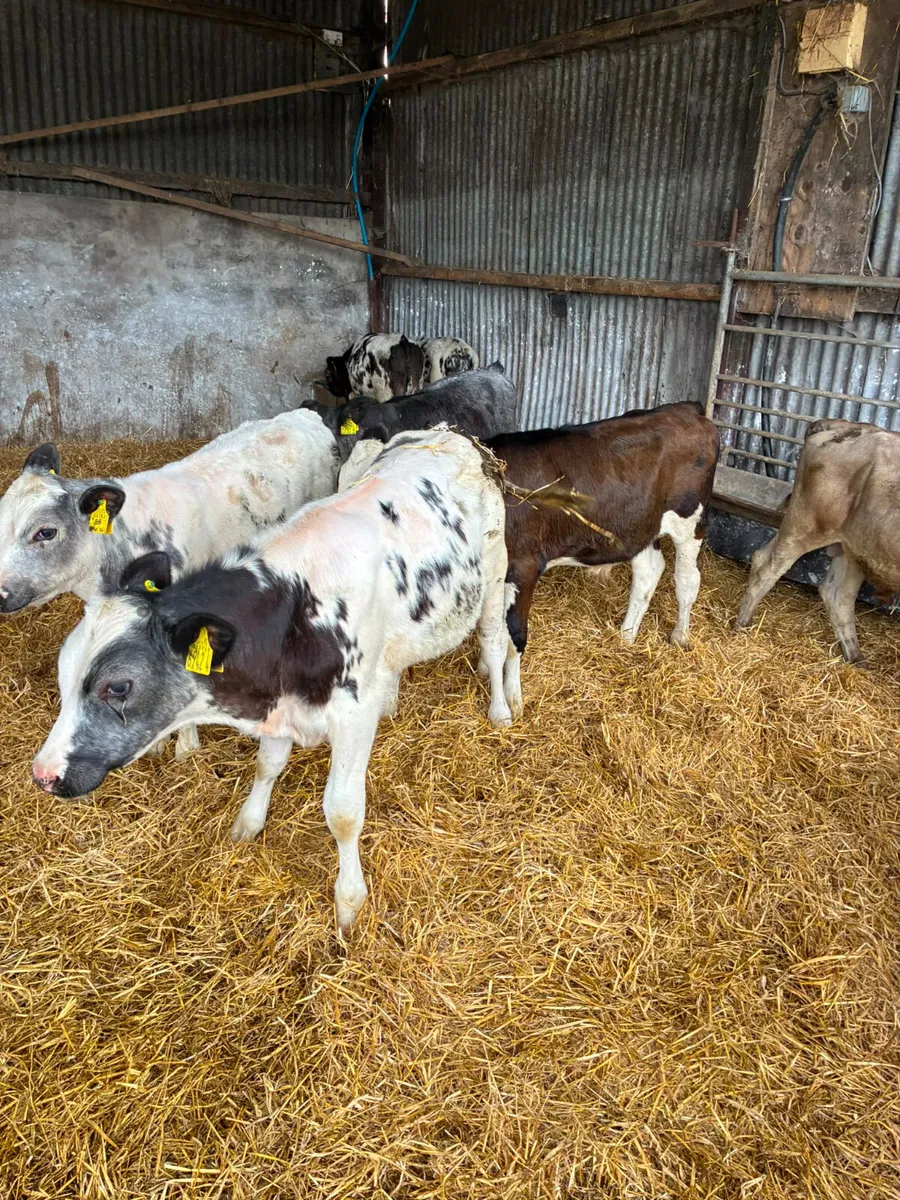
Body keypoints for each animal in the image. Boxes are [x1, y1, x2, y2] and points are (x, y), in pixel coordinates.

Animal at [32, 428, 514, 933]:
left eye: (119, 686)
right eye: (64, 678)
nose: (42, 775)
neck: (297, 610)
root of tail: (447, 434)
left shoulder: (352, 714)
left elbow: (343, 813)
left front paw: (349, 902)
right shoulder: (281, 704)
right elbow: (266, 766)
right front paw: (248, 822)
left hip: (494, 573)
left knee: (494, 639)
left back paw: (500, 710)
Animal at [483, 401, 720, 716]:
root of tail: (686, 410)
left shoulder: (523, 567)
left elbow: (513, 637)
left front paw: (510, 701)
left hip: (690, 520)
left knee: (687, 580)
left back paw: (679, 636)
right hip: (639, 526)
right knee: (648, 572)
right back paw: (626, 635)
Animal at [736, 419, 899, 664]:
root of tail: (835, 424)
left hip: (853, 549)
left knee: (837, 596)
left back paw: (856, 657)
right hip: (804, 527)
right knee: (766, 567)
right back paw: (741, 623)